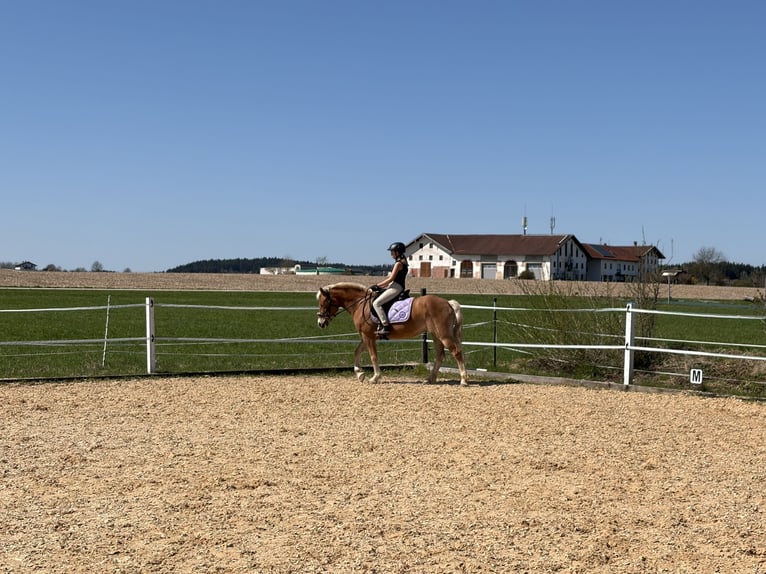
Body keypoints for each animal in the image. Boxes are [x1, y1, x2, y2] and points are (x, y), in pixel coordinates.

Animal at [316, 282, 468, 386]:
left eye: (323, 303)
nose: (320, 323)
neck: (360, 304)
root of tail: (448, 303)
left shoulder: (368, 337)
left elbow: (373, 356)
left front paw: (375, 377)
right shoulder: (367, 336)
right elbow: (357, 351)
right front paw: (360, 374)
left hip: (444, 335)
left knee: (456, 351)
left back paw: (463, 380)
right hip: (436, 335)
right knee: (440, 355)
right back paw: (430, 379)